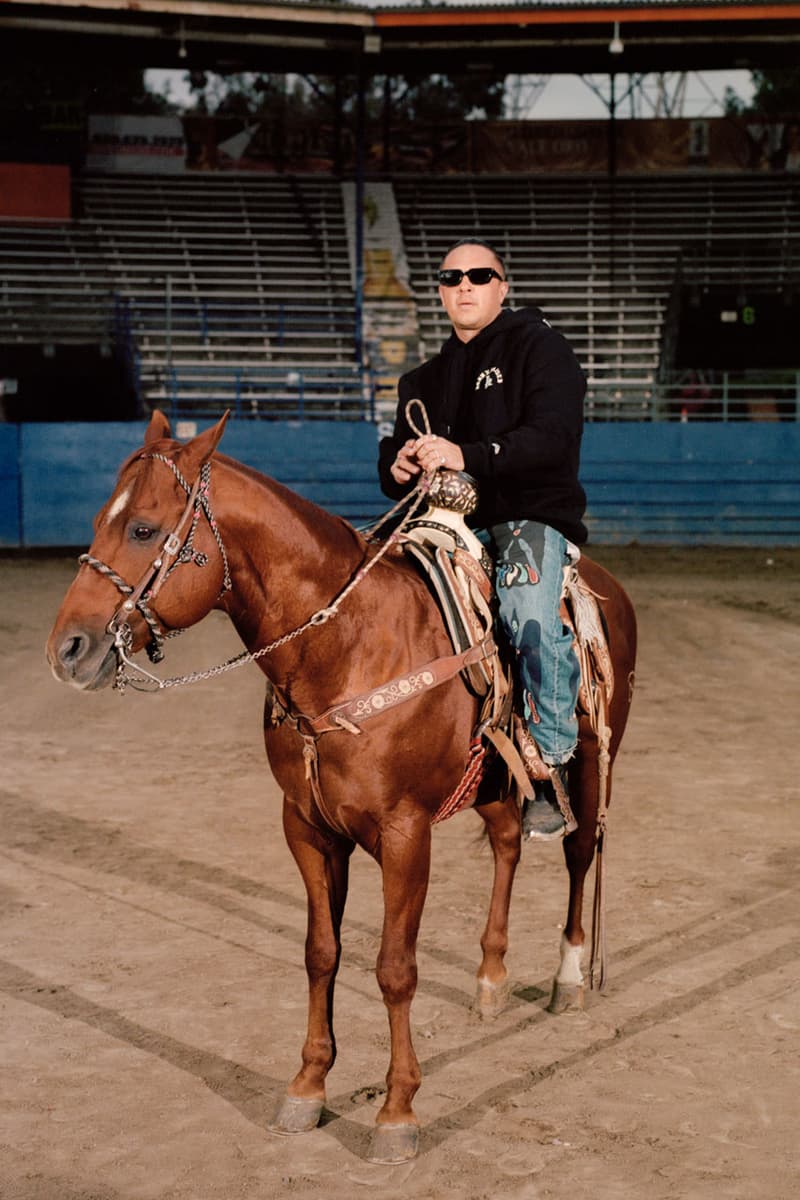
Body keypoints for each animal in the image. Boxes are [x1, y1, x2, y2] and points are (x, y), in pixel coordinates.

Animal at [48, 410, 638, 1161]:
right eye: (101, 520)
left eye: (145, 530)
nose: (67, 650)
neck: (350, 647)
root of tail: (605, 587)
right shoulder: (308, 828)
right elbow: (321, 954)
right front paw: (307, 1088)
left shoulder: (404, 834)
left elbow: (394, 968)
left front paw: (397, 1112)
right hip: (496, 781)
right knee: (508, 842)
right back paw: (490, 979)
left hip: (591, 760)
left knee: (579, 852)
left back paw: (568, 978)